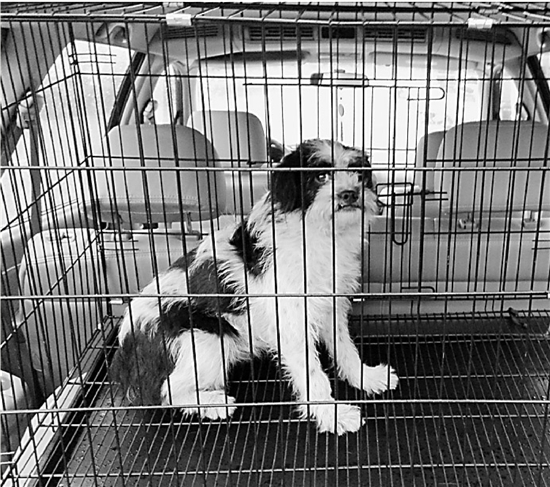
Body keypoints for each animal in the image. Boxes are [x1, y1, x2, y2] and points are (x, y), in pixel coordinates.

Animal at [111, 139, 399, 435]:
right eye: (320, 176)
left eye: (359, 174)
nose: (350, 194)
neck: (318, 234)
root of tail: (124, 351)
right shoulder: (291, 320)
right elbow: (311, 373)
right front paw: (333, 415)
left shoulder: (332, 304)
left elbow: (344, 347)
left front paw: (365, 377)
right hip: (206, 338)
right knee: (167, 391)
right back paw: (214, 404)